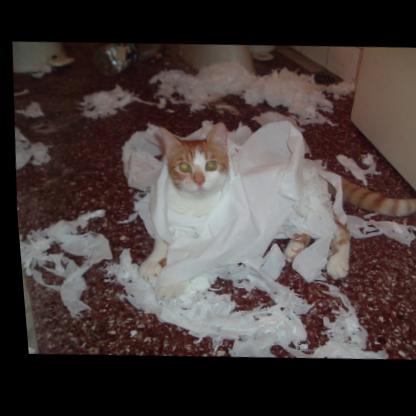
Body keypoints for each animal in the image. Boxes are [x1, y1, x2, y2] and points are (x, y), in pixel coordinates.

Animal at [139, 122, 416, 296]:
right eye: (184, 167)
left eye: (210, 165)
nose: (198, 181)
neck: (195, 207)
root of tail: (313, 167)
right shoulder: (169, 219)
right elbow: (163, 241)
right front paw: (152, 262)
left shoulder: (223, 239)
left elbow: (192, 260)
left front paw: (170, 282)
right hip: (294, 215)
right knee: (308, 229)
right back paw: (295, 246)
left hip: (308, 205)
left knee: (340, 227)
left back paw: (337, 261)